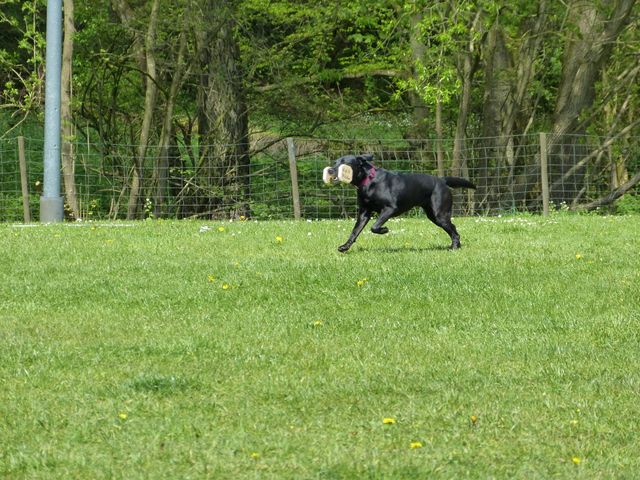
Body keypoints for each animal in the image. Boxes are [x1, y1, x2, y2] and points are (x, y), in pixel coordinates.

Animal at [323, 154, 476, 252]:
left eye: (345, 163)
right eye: (335, 162)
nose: (330, 170)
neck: (368, 181)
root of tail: (442, 180)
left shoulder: (390, 208)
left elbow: (374, 226)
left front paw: (384, 230)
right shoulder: (363, 213)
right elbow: (354, 232)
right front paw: (345, 246)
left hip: (440, 214)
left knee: (453, 229)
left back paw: (454, 247)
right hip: (433, 215)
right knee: (453, 228)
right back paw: (455, 245)